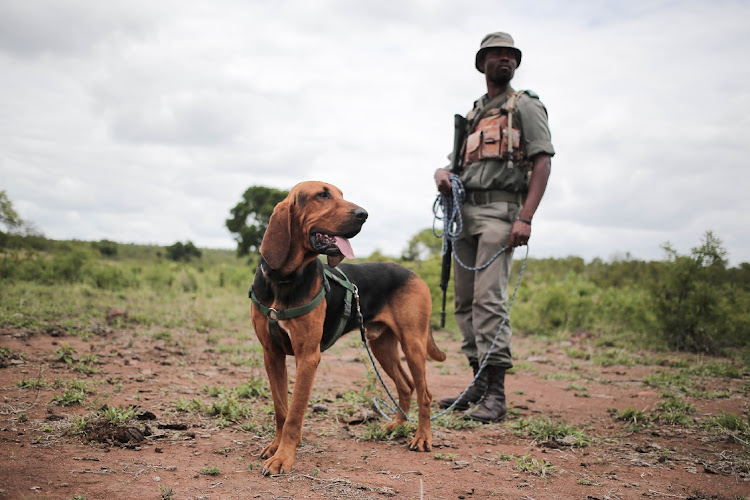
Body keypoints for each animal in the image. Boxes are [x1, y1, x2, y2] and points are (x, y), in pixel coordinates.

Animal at [251, 181, 446, 476]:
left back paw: (422, 437)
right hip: (381, 346)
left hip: (413, 343)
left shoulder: (308, 357)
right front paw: (275, 447)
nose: (364, 214)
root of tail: (414, 273)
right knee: (406, 386)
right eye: (322, 195)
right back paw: (396, 425)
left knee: (425, 393)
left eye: (341, 194)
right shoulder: (271, 354)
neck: (285, 280)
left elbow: (294, 414)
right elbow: (281, 409)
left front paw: (283, 458)